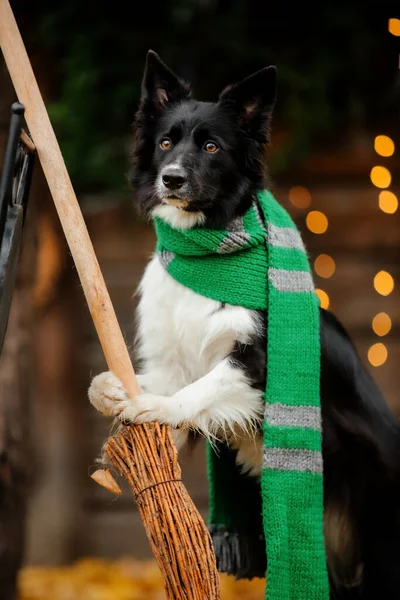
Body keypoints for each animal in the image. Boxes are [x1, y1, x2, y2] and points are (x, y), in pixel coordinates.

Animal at [90, 51, 400, 600]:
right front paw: (110, 391)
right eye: (166, 142)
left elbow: (200, 389)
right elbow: (151, 383)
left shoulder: (258, 360)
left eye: (212, 146)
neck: (207, 254)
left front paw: (158, 407)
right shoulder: (170, 362)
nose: (171, 178)